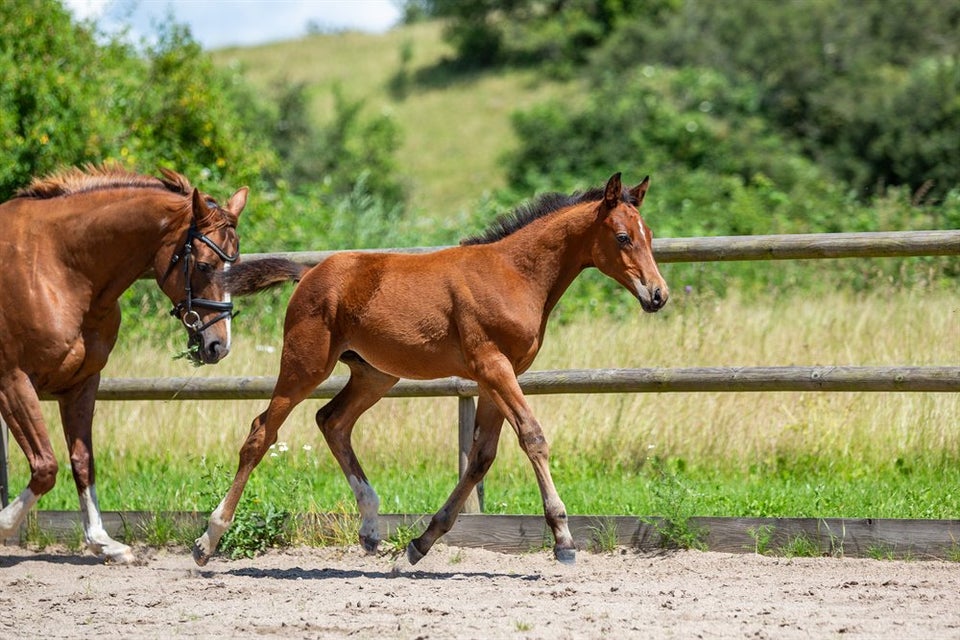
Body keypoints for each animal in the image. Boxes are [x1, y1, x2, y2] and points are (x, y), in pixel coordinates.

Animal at [0, 164, 270, 560]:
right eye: (205, 266)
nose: (218, 345)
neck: (57, 267)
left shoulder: (81, 382)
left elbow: (82, 460)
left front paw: (103, 542)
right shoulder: (13, 382)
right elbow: (46, 466)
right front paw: (3, 526)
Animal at [195, 171, 668, 564]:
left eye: (649, 235)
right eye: (623, 236)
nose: (658, 295)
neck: (515, 275)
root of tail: (309, 273)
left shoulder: (497, 376)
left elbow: (481, 457)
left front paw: (421, 542)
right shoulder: (493, 367)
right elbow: (532, 437)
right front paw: (564, 540)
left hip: (375, 374)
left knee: (332, 421)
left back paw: (370, 528)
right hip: (304, 365)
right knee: (261, 433)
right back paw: (208, 540)